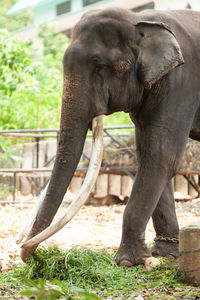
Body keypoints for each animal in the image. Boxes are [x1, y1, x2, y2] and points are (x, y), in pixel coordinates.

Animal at [18, 7, 199, 266]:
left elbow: (162, 155)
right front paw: (163, 255)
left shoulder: (181, 82)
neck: (139, 19)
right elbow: (148, 155)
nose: (27, 255)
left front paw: (128, 261)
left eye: (99, 67)